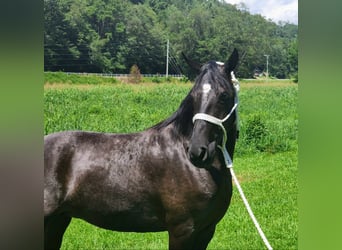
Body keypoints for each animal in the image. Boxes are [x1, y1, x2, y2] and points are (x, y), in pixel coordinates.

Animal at [44, 48, 239, 248]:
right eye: (193, 96)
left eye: (224, 95)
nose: (197, 151)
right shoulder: (182, 231)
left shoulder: (206, 231)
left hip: (57, 222)